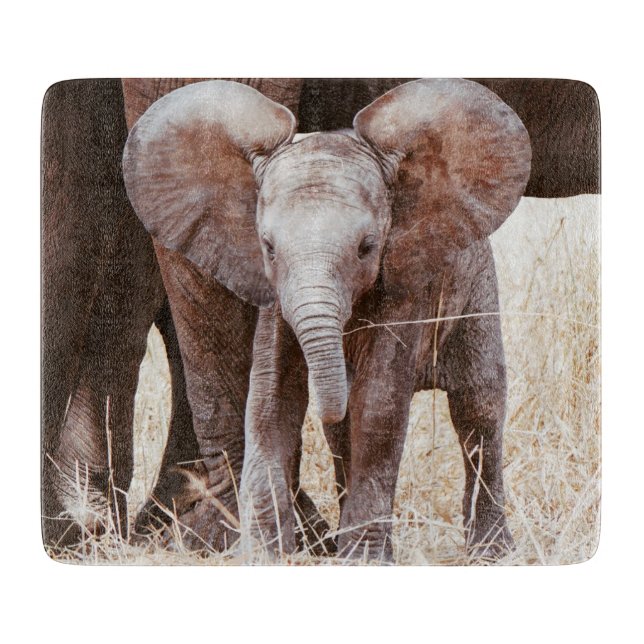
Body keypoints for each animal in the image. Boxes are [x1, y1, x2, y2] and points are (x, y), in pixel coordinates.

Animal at [122, 78, 533, 561]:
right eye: (268, 247)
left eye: (367, 247)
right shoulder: (276, 301)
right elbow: (270, 401)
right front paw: (268, 555)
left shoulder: (406, 285)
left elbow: (378, 404)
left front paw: (364, 561)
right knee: (342, 439)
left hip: (476, 289)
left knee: (479, 407)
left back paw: (492, 553)